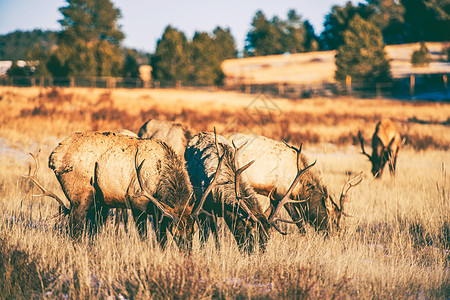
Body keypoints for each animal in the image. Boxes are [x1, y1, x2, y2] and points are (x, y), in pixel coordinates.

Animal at [24, 131, 220, 248]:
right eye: (176, 232)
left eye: (192, 231)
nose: (187, 253)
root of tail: (54, 157)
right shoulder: (137, 203)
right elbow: (146, 236)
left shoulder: (160, 211)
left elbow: (161, 238)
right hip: (81, 194)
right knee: (75, 225)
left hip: (98, 201)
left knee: (90, 228)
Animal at [225, 132, 362, 233]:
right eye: (333, 218)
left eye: (340, 217)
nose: (337, 234)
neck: (299, 188)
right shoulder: (282, 194)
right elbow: (299, 222)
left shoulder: (273, 196)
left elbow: (269, 217)